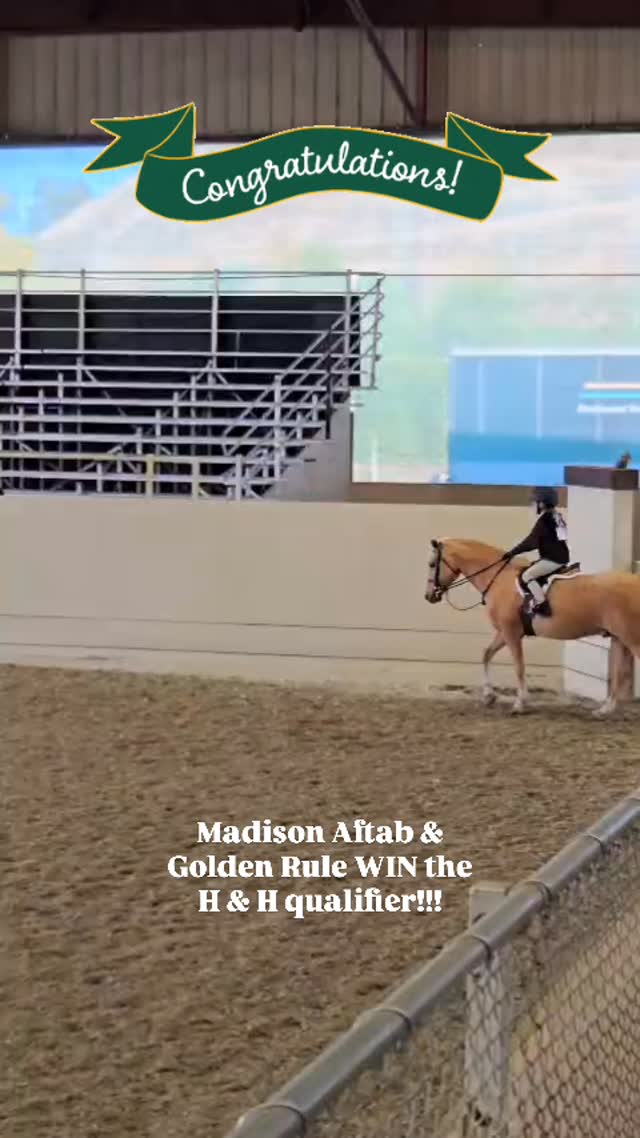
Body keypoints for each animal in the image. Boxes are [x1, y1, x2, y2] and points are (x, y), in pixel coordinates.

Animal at [424, 537, 640, 717]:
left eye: (432, 564)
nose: (429, 596)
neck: (499, 579)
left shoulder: (511, 633)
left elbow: (519, 666)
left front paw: (520, 703)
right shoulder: (503, 632)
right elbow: (486, 654)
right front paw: (489, 696)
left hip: (631, 638)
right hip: (619, 638)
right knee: (620, 673)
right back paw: (605, 709)